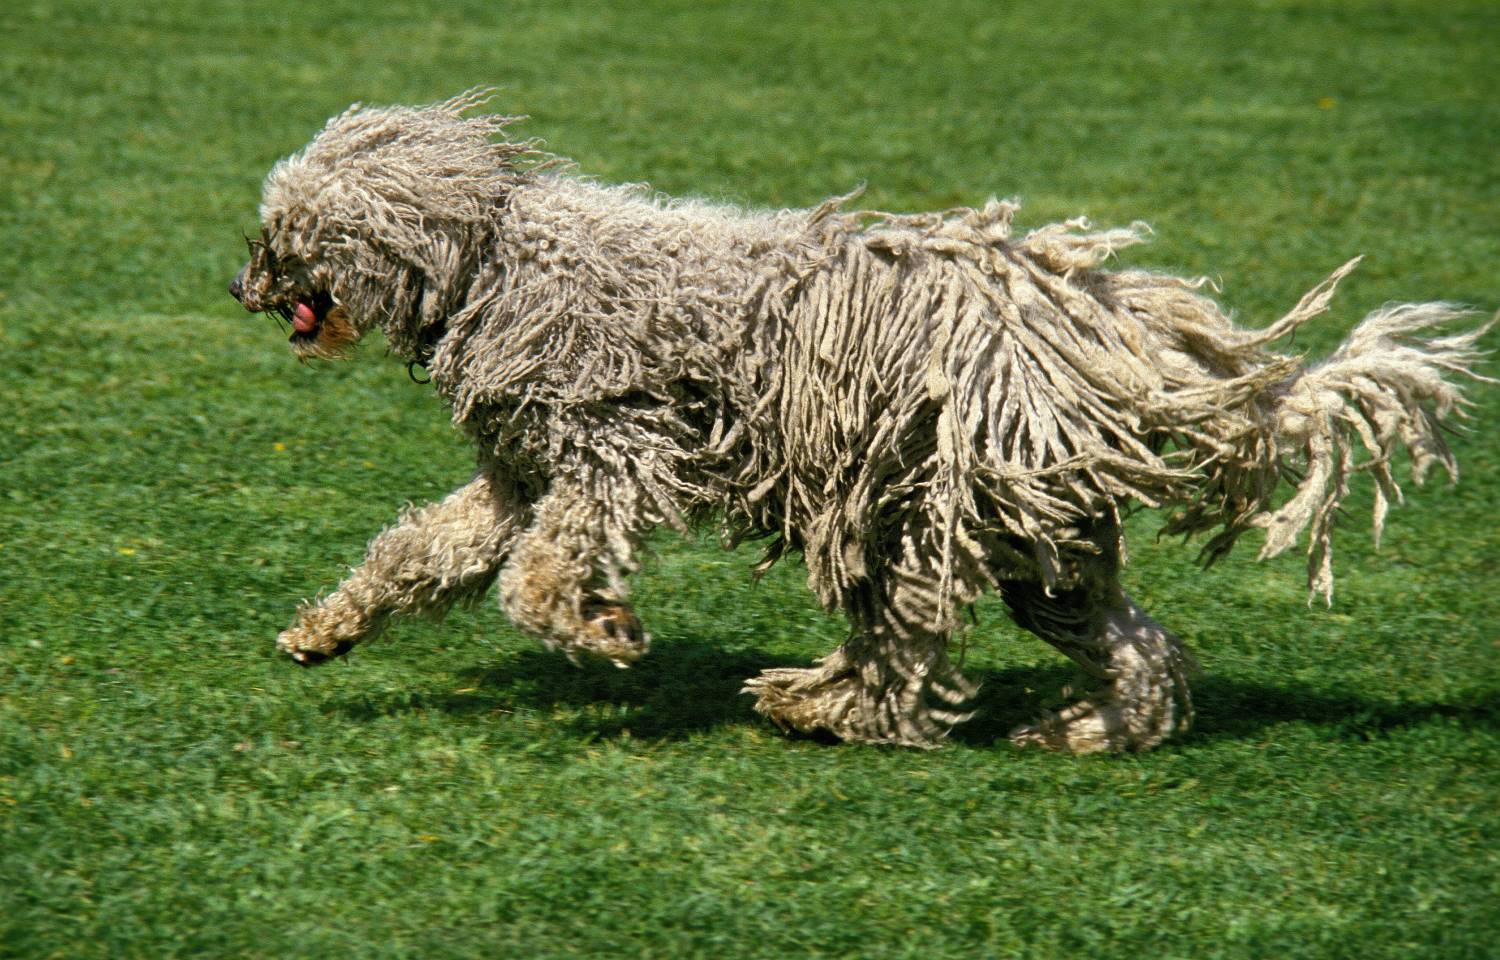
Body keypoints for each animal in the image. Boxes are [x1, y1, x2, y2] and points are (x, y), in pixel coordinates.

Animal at [231, 91, 1488, 750]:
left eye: (291, 230)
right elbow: (425, 551)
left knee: (910, 642)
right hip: (1036, 531)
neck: (493, 258)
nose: (240, 280)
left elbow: (537, 576)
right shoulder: (519, 473)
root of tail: (1112, 326)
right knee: (1130, 642)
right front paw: (327, 627)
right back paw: (1088, 727)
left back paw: (822, 701)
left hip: (936, 502)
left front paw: (604, 629)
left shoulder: (615, 446)